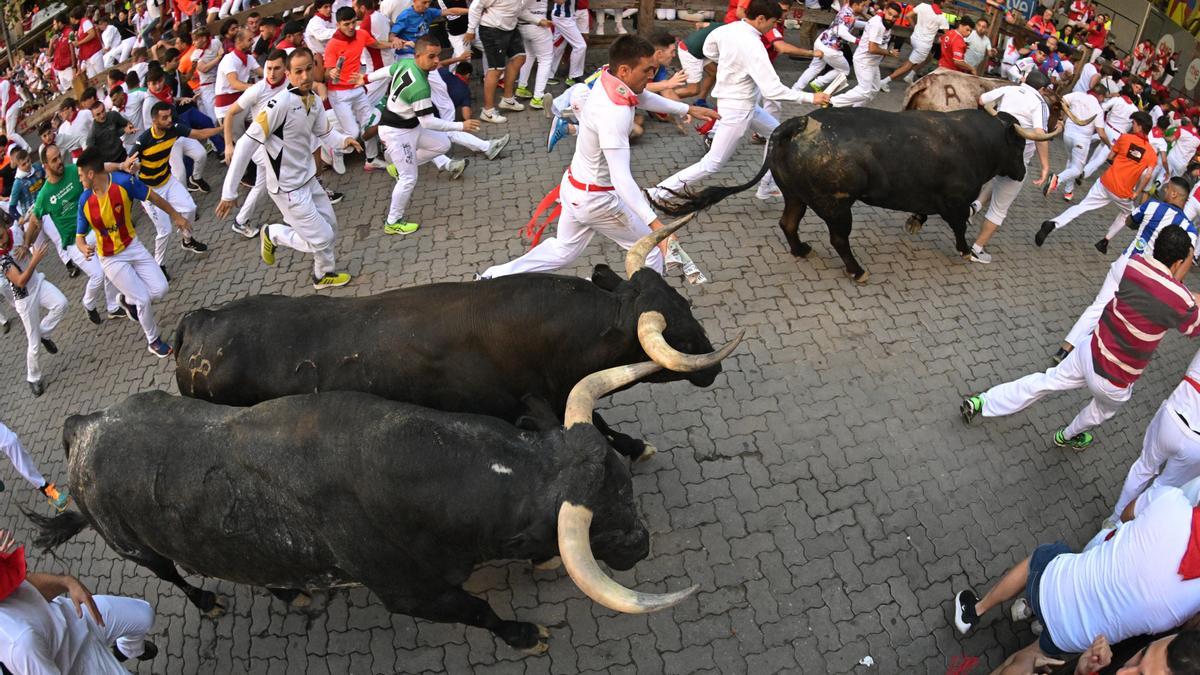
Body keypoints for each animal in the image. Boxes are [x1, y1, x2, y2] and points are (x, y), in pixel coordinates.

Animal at [25, 357, 729, 653]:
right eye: (607, 513)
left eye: (623, 483)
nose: (641, 542)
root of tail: (85, 427)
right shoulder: (414, 595)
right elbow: (479, 611)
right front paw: (523, 634)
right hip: (134, 549)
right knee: (173, 575)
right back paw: (210, 601)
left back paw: (291, 591)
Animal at [169, 220, 729, 456]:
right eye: (677, 338)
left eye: (686, 306)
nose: (715, 366)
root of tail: (199, 320)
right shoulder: (529, 409)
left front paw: (632, 444)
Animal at [652, 109, 1065, 282]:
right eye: (1018, 145)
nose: (1022, 172)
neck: (974, 140)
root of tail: (798, 123)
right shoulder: (956, 201)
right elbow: (960, 227)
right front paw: (965, 251)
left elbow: (925, 211)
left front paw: (915, 221)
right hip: (837, 205)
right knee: (838, 238)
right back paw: (857, 270)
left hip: (796, 194)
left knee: (788, 223)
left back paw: (801, 250)